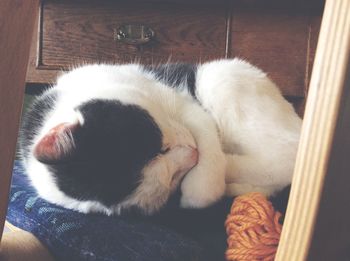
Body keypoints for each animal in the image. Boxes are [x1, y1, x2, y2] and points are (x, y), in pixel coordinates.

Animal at [18, 59, 300, 215]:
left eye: (160, 146)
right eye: (171, 178)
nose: (193, 153)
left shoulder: (178, 99)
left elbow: (202, 192)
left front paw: (204, 180)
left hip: (218, 77)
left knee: (287, 154)